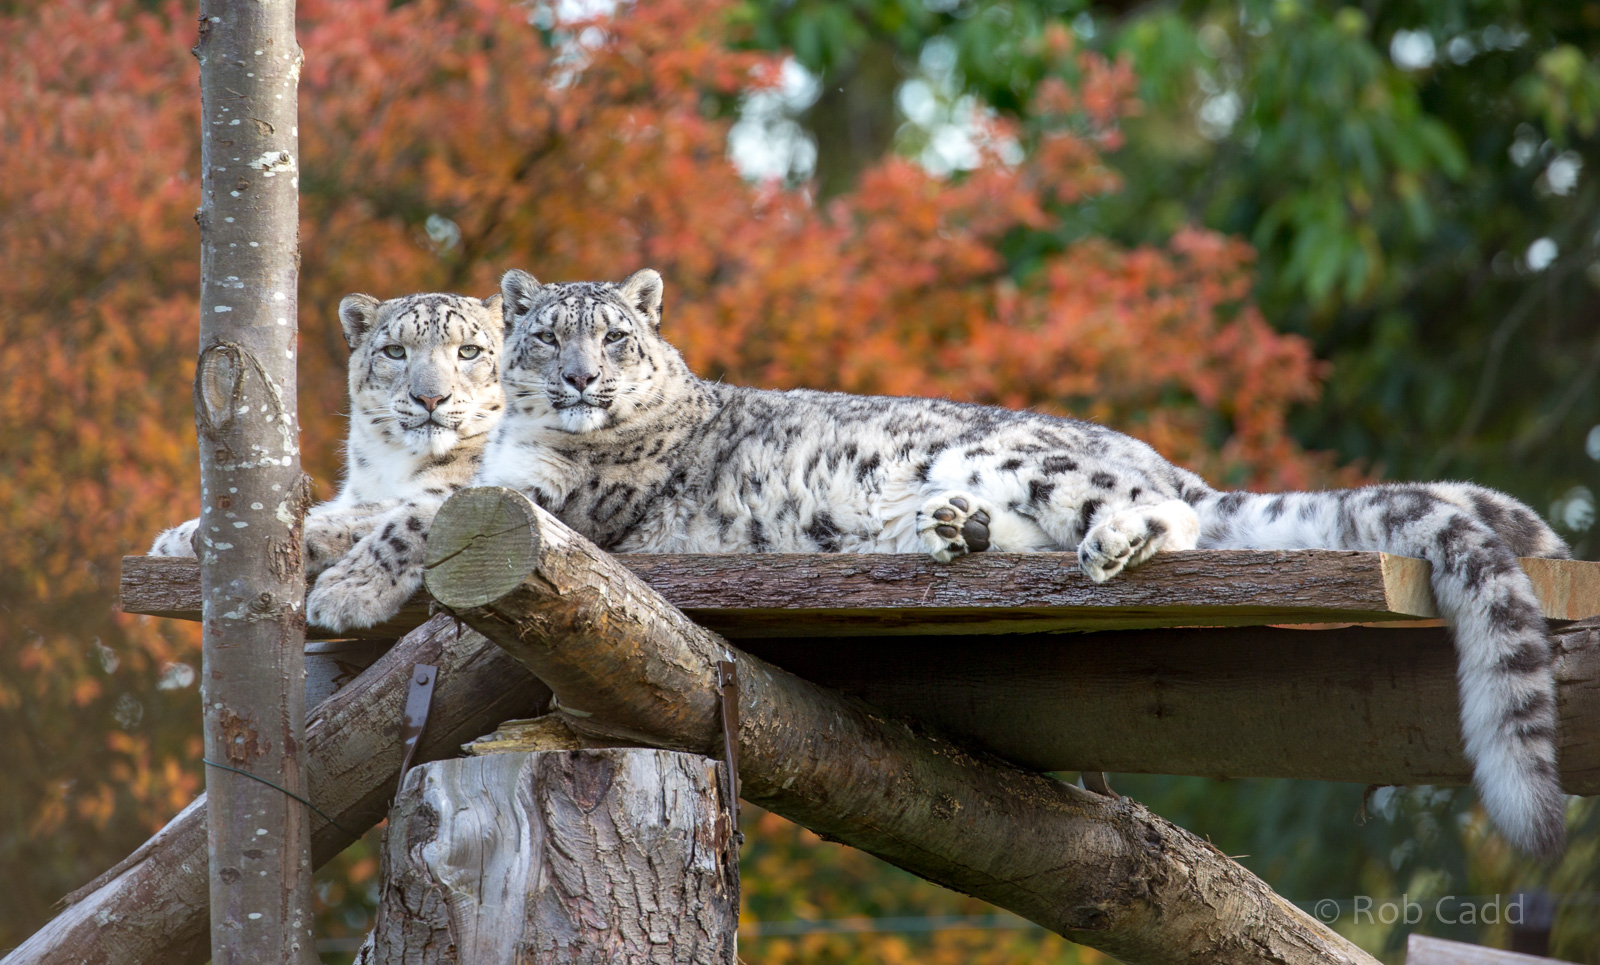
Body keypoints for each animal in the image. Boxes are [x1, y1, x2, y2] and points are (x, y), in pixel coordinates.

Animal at [149, 290, 506, 631]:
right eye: (394, 351)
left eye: (469, 351)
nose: (430, 398)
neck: (394, 460)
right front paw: (178, 539)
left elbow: (401, 518)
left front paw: (348, 592)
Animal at [313, 266, 1572, 858]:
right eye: (540, 337)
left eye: (614, 337)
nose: (578, 378)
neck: (531, 443)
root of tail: (1142, 448)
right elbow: (393, 503)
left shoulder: (554, 503)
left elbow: (414, 514)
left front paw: (338, 581)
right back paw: (940, 531)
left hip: (1042, 465)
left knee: (1166, 515)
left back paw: (1108, 536)